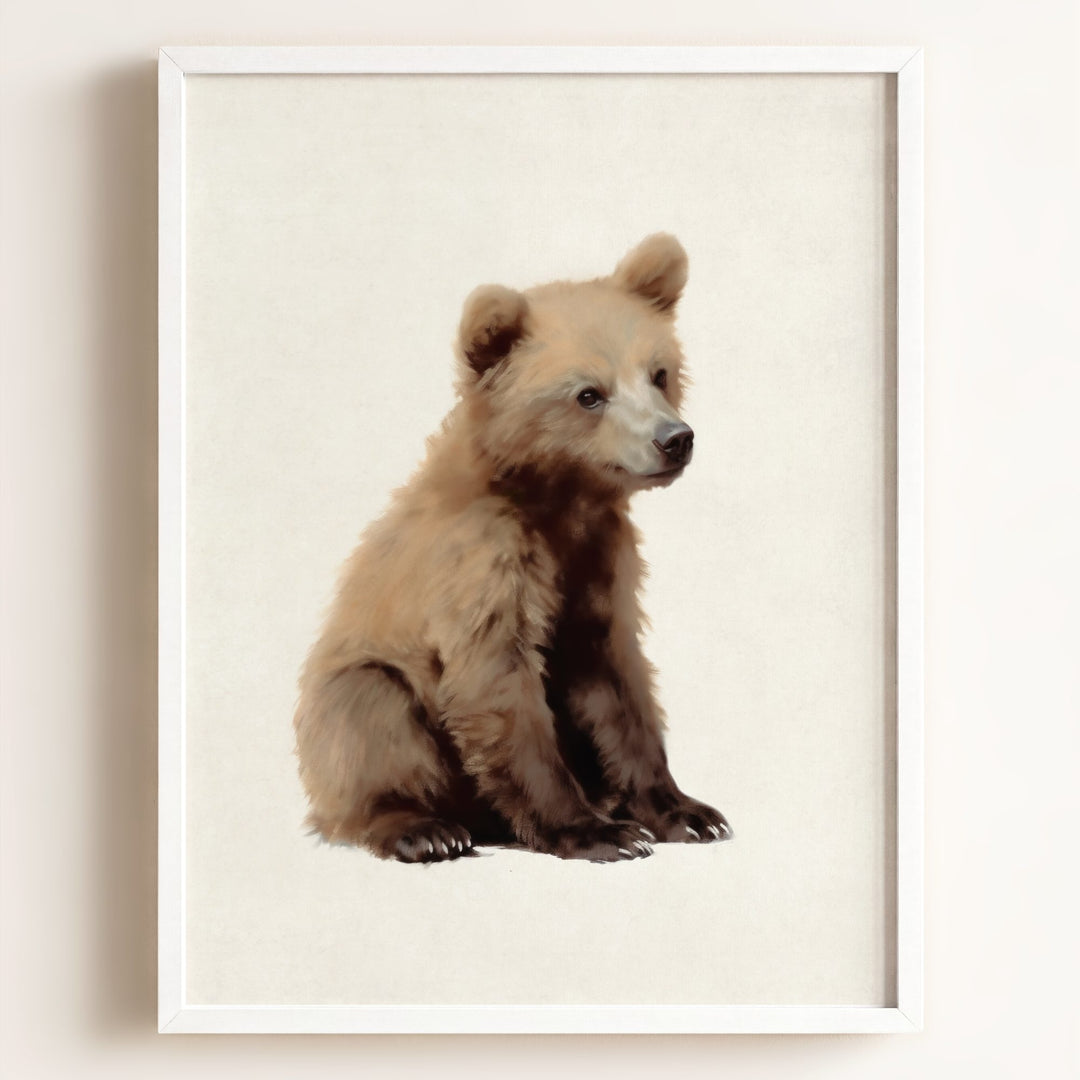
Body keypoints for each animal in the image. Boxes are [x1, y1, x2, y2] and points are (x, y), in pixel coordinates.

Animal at [294, 234, 731, 863]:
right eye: (588, 394)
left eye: (659, 373)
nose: (674, 439)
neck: (559, 500)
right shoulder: (481, 561)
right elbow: (498, 683)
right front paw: (597, 832)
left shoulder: (598, 562)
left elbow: (617, 682)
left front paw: (686, 812)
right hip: (357, 693)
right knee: (368, 711)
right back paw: (424, 828)